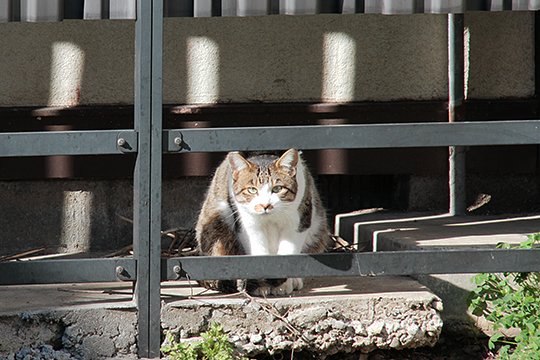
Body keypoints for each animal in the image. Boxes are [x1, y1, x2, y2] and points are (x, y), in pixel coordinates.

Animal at [196, 148, 332, 296]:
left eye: (277, 189)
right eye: (252, 190)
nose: (265, 205)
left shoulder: (298, 221)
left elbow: (288, 252)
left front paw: (282, 284)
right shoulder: (248, 224)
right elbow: (259, 253)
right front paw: (262, 284)